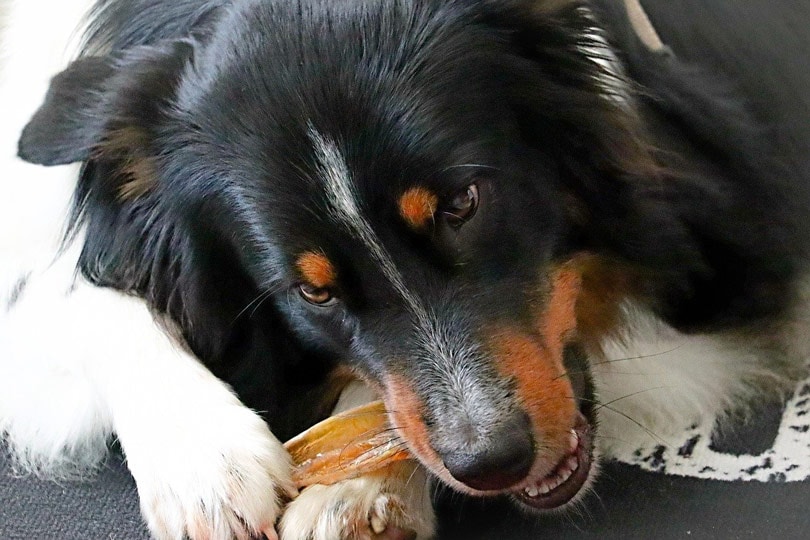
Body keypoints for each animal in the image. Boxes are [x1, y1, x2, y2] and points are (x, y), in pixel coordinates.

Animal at [1, 0, 808, 536]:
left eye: (462, 203)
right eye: (311, 290)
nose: (492, 462)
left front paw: (351, 492)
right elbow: (79, 294)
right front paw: (206, 463)